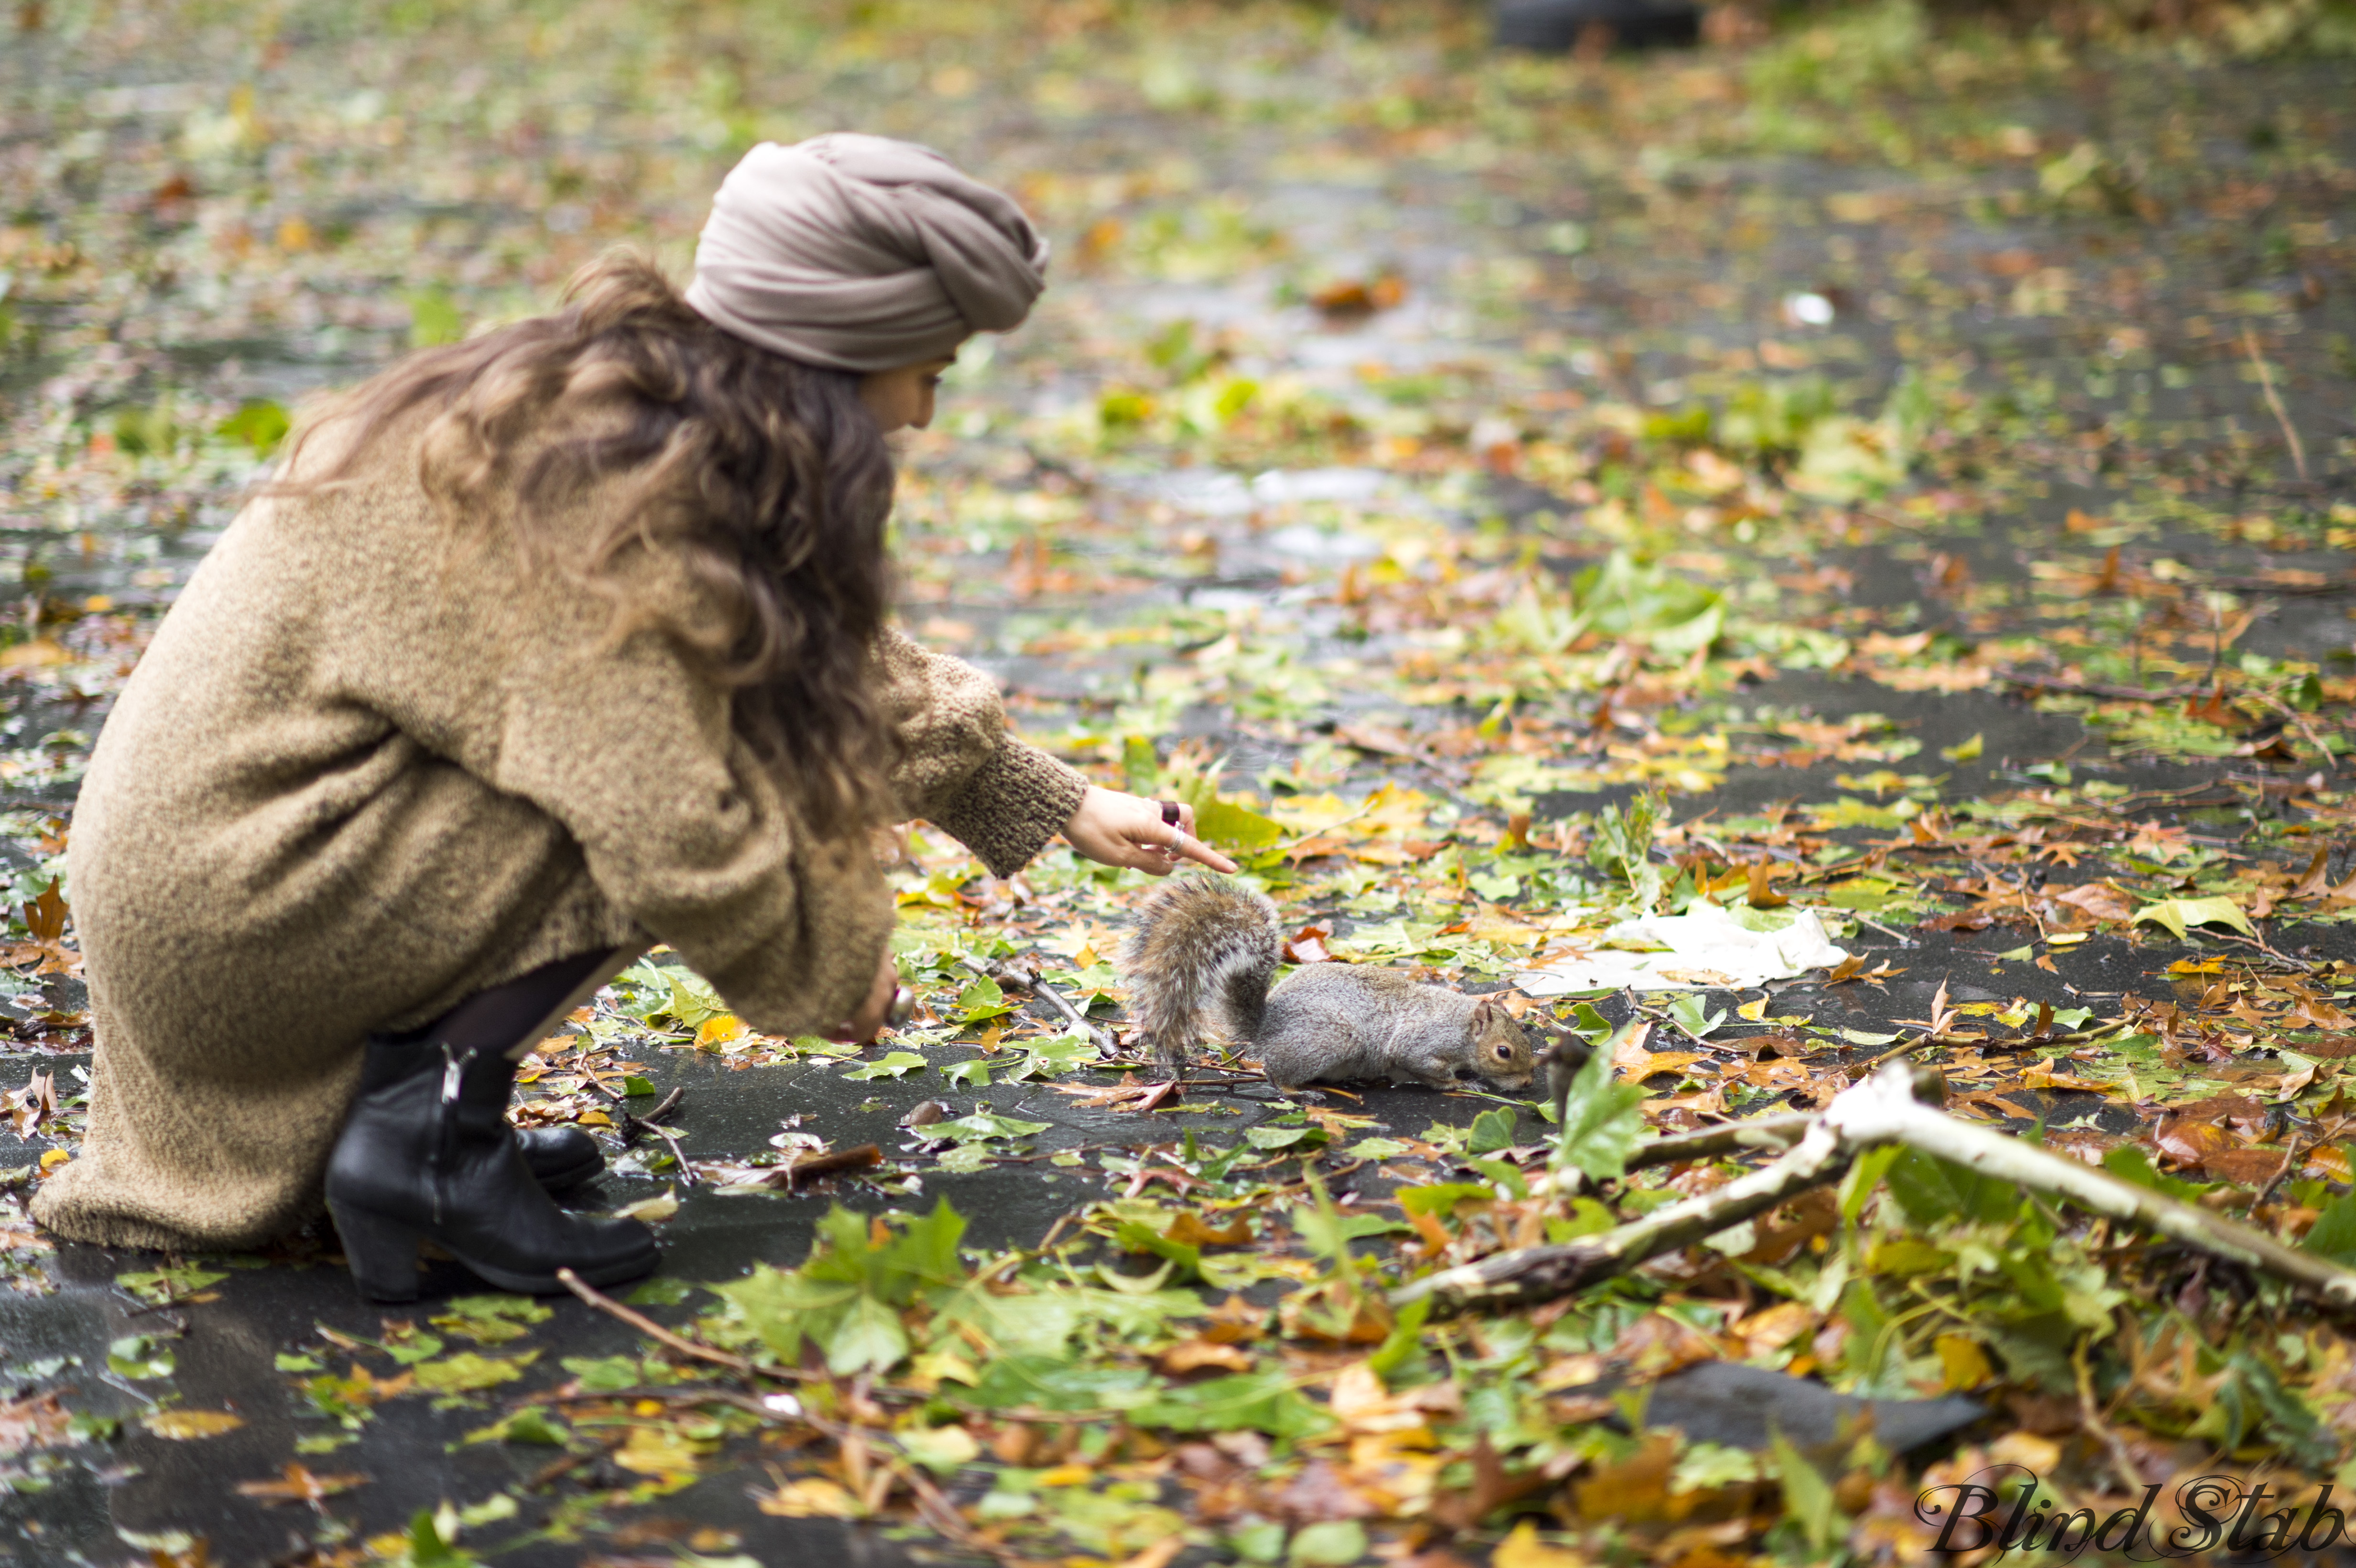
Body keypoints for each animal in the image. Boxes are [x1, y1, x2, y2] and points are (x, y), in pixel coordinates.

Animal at [1112, 871, 1536, 1092]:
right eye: (1503, 1052)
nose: (1529, 1083)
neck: (1461, 1025)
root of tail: (1267, 1026)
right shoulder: (1423, 1043)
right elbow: (1425, 1067)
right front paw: (1461, 1084)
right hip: (1330, 1040)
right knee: (1276, 1072)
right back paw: (1297, 1091)